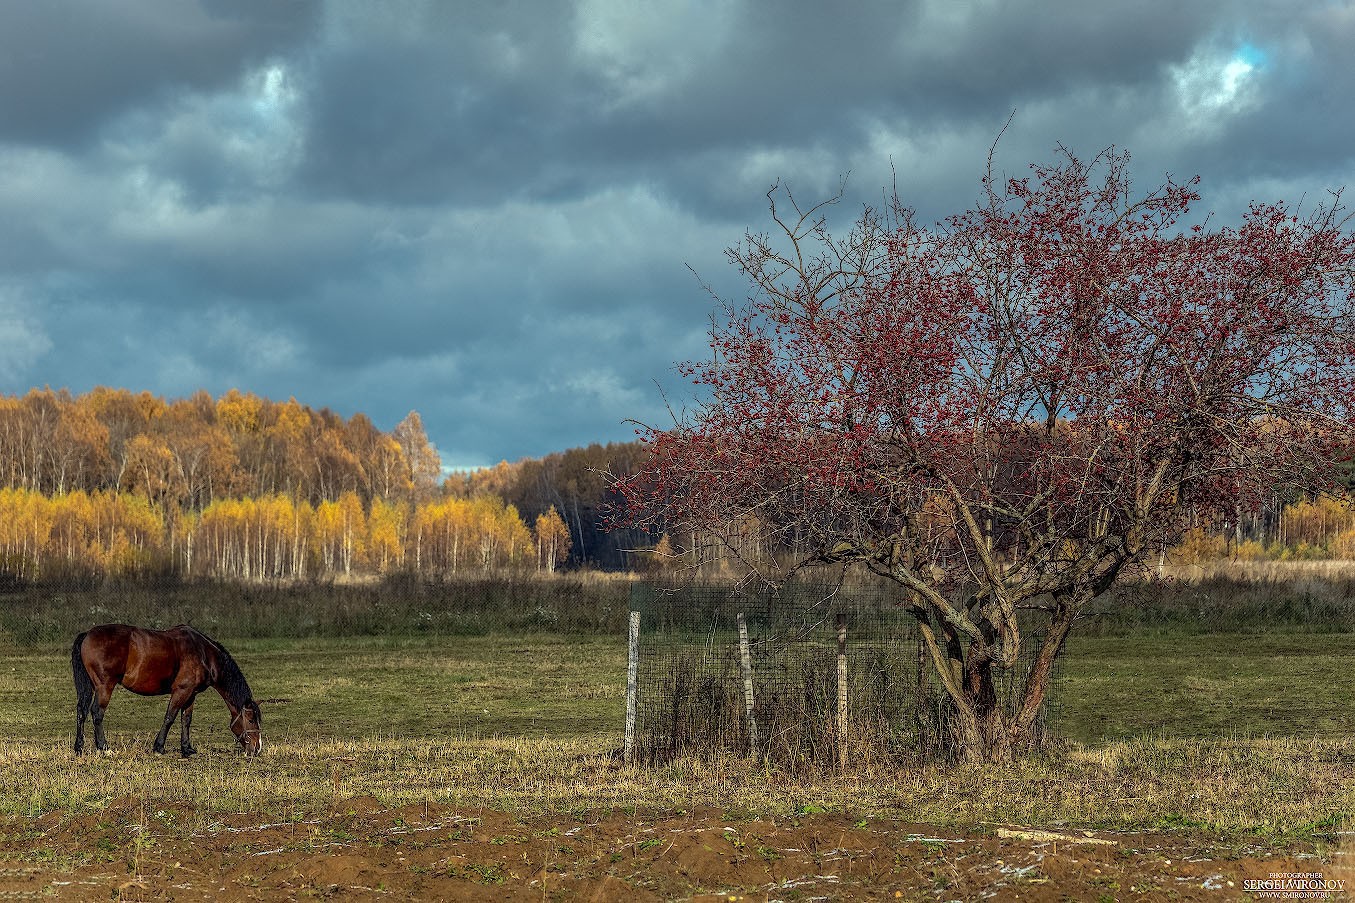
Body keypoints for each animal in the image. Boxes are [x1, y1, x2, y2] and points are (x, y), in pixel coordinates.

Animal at [72, 618, 264, 753]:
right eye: (251, 719)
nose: (257, 748)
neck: (204, 654)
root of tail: (87, 634)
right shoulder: (181, 691)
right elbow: (170, 717)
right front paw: (159, 747)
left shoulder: (191, 694)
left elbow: (186, 720)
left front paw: (187, 748)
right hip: (105, 686)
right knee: (97, 712)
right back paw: (104, 747)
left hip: (91, 686)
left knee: (82, 711)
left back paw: (79, 747)